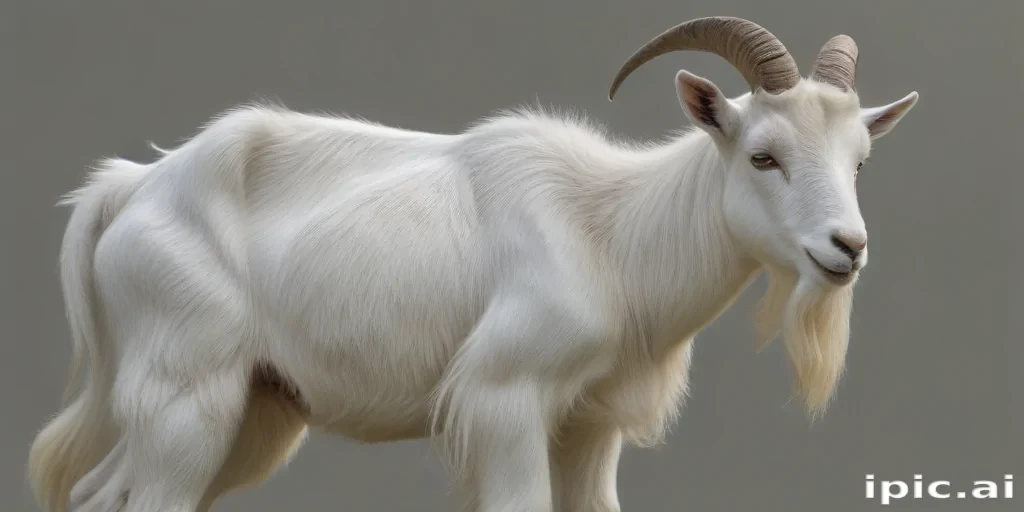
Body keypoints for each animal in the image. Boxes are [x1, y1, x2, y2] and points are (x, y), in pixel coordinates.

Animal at [28, 16, 919, 512]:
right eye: (764, 155)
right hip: (189, 395)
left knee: (99, 495)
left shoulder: (589, 426)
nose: (847, 248)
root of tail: (131, 188)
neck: (609, 233)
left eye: (861, 161)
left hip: (252, 407)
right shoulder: (504, 398)